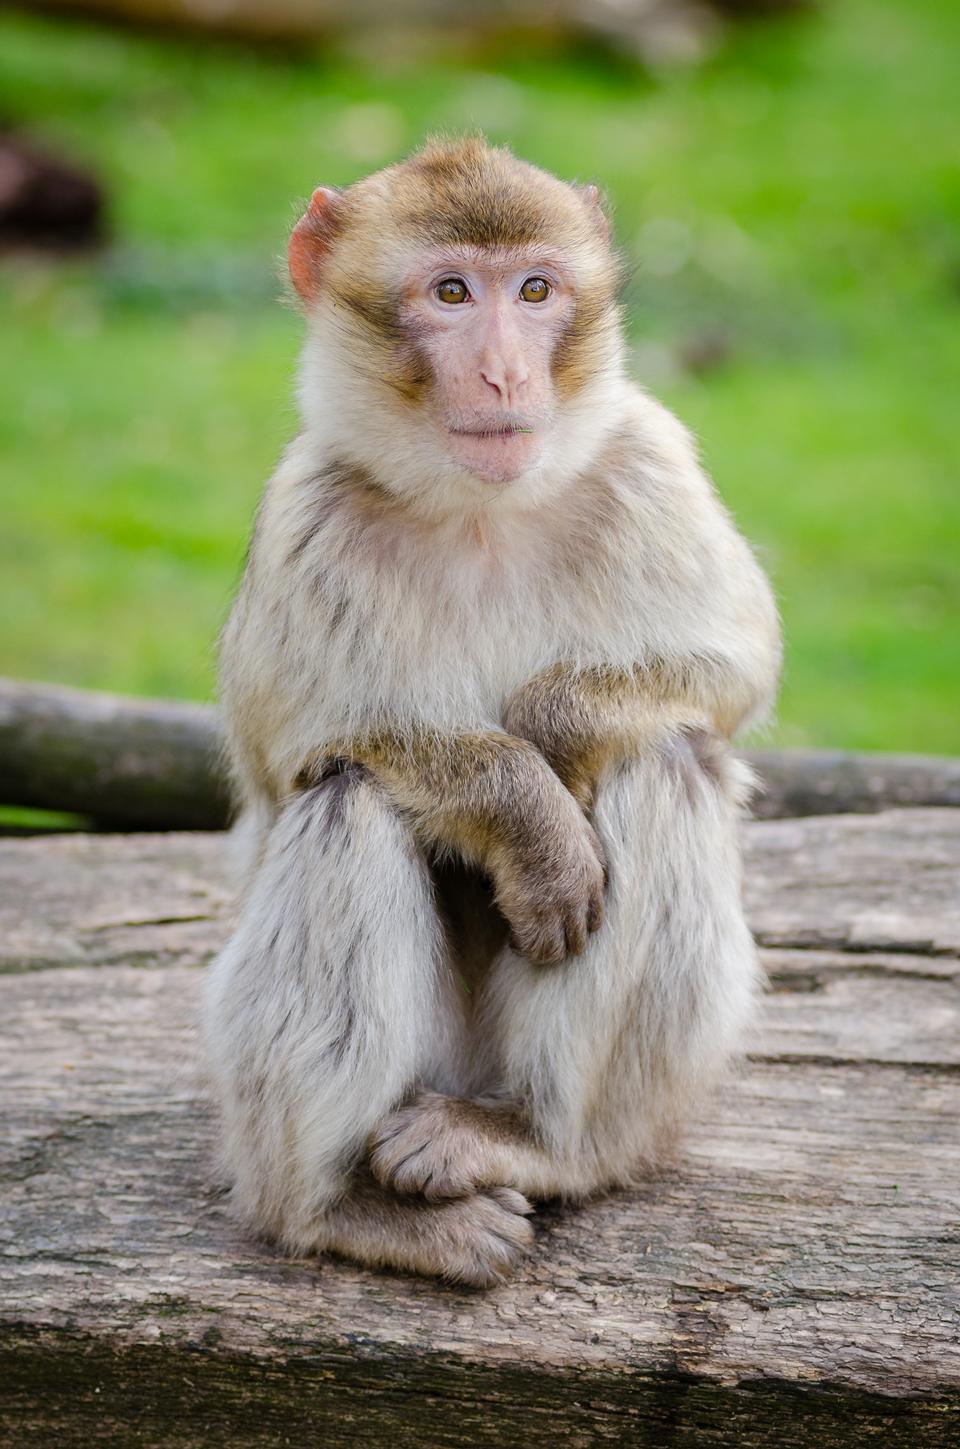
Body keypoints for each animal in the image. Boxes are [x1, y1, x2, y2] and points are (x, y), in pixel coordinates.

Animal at [201, 138, 781, 1292]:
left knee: (666, 755)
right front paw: (532, 819)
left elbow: (732, 666)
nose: (507, 373)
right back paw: (340, 1208)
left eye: (537, 291)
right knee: (348, 802)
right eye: (453, 294)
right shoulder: (305, 516)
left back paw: (539, 1141)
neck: (480, 514)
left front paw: (554, 735)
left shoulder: (653, 462)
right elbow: (303, 750)